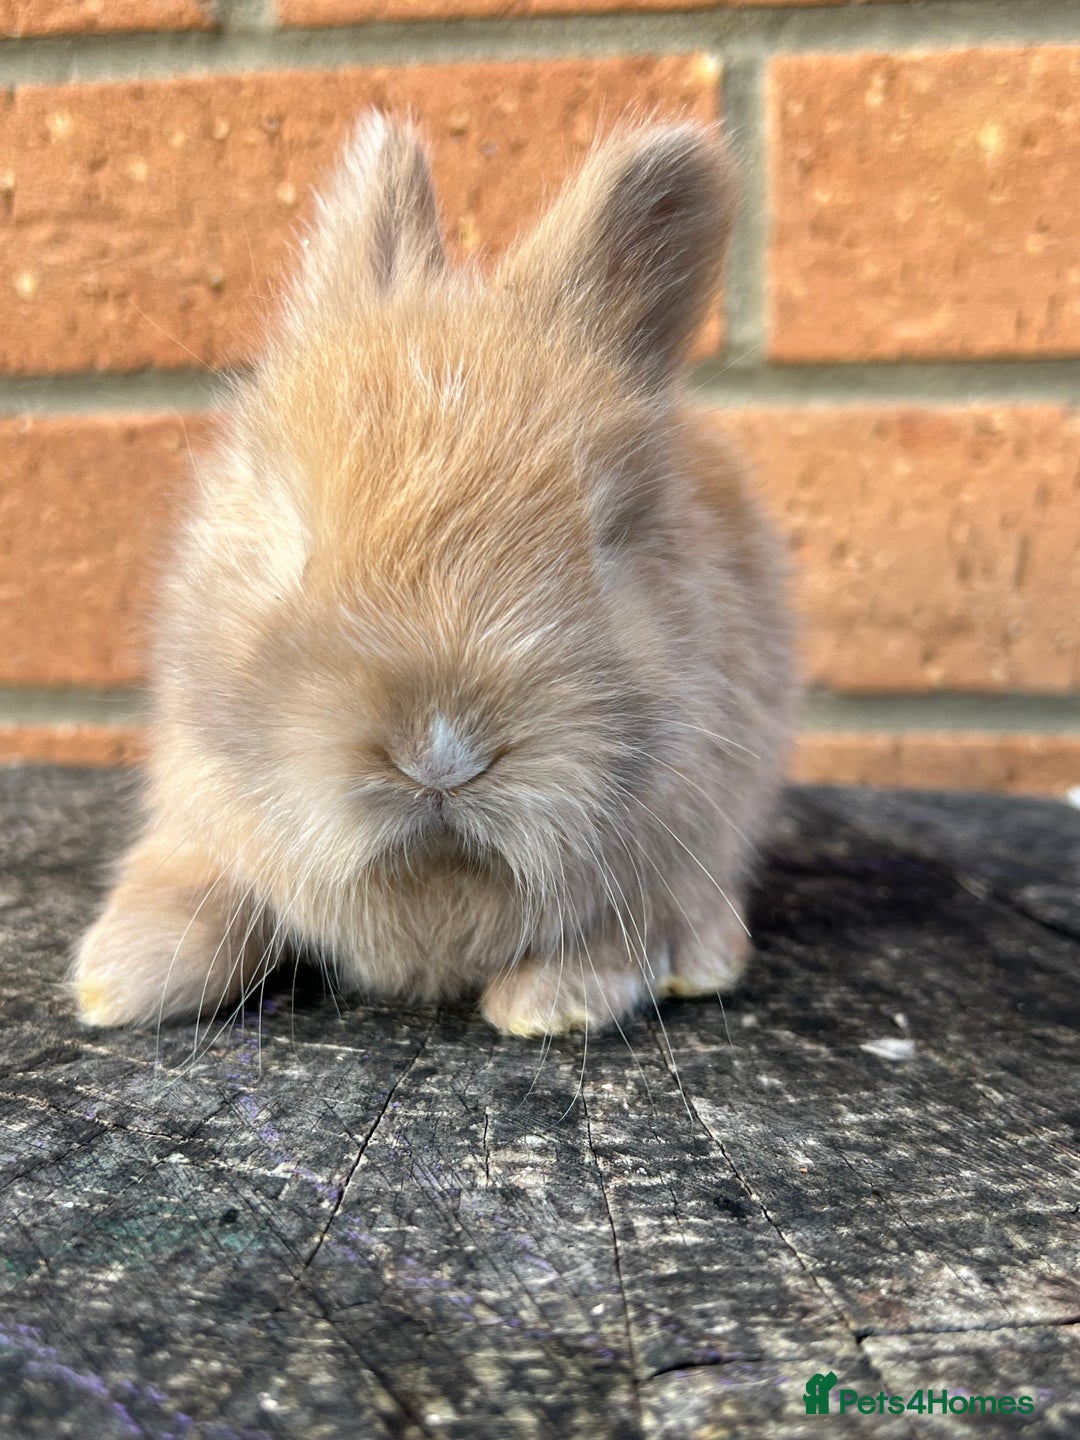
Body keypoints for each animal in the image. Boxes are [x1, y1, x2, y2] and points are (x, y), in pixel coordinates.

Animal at [72, 112, 796, 1039]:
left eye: (607, 538)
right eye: (296, 538)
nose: (441, 756)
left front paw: (551, 1003)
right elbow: (201, 887)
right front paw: (120, 977)